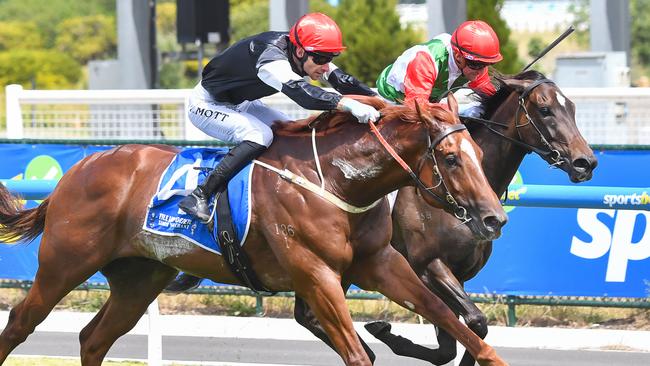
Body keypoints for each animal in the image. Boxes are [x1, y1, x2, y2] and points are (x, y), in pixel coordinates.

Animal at [0, 95, 506, 366]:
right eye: (451, 158)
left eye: (481, 155)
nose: (494, 219)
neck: (334, 178)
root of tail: (77, 170)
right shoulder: (316, 275)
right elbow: (357, 352)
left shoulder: (381, 263)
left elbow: (453, 321)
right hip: (64, 263)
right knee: (21, 321)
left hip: (139, 278)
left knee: (94, 338)